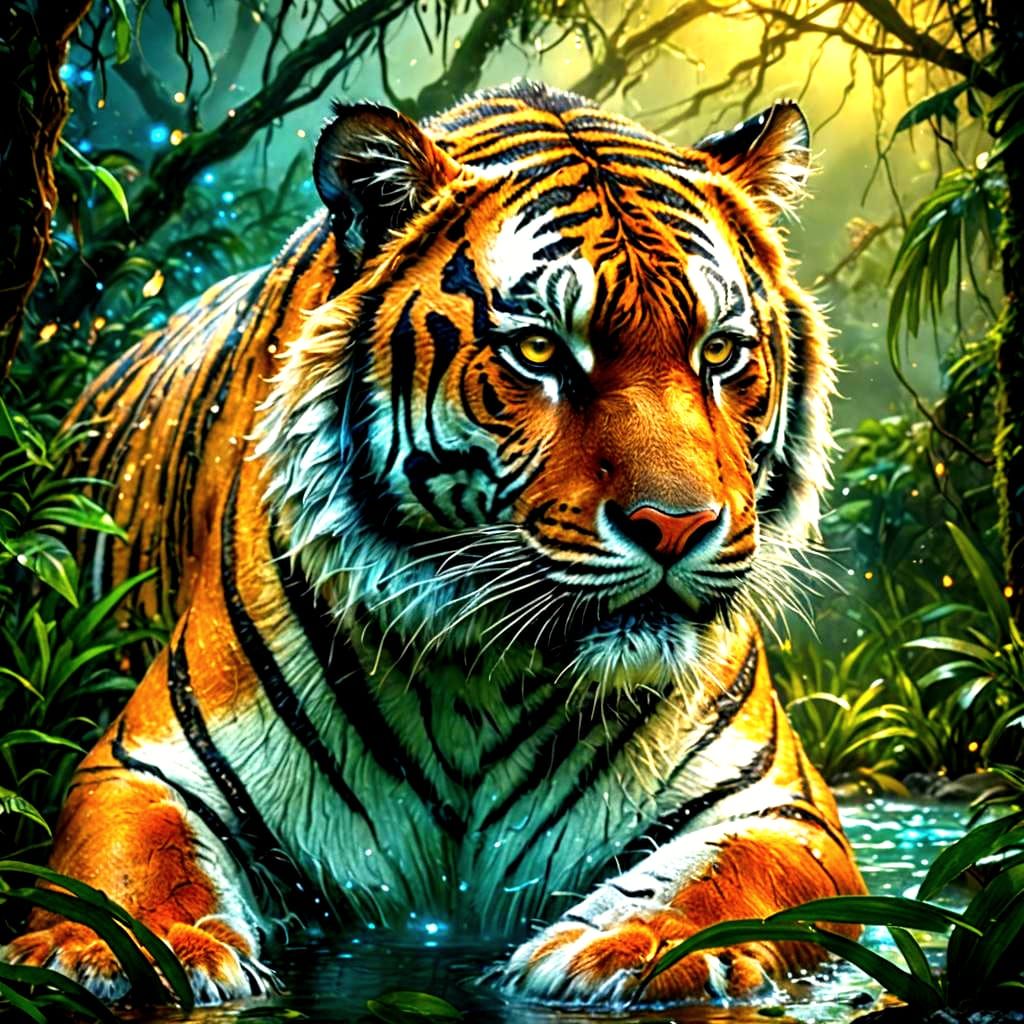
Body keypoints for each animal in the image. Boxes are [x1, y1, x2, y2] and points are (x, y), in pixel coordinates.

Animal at [2, 79, 865, 1008]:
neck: (485, 677)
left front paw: (631, 945)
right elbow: (133, 871)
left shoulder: (779, 807)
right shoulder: (142, 765)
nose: (676, 526)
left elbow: (717, 883)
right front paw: (134, 950)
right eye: (539, 350)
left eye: (721, 352)